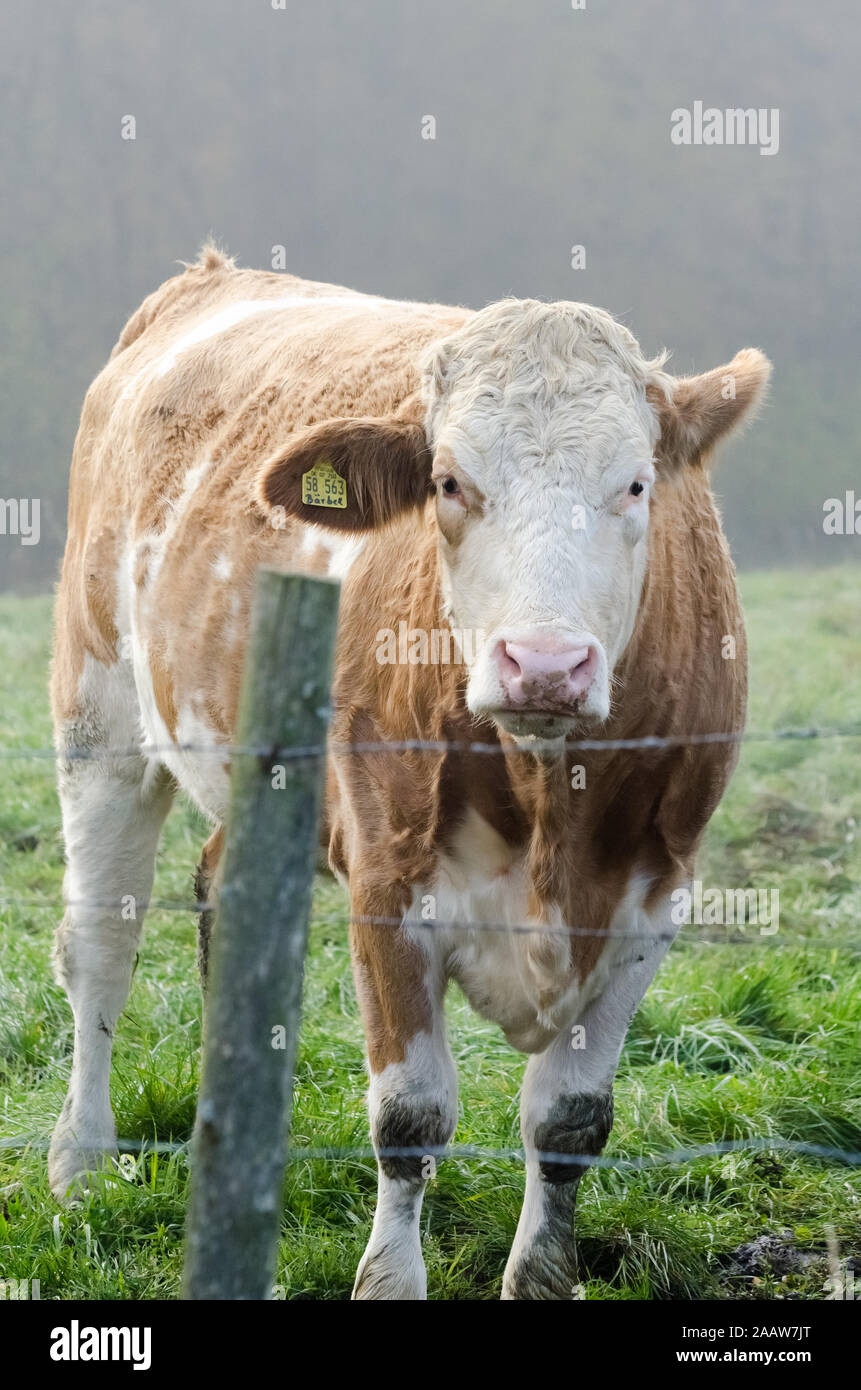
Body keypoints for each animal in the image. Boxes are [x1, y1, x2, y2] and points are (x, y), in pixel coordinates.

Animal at [49, 246, 770, 1299]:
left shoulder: (652, 894)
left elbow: (569, 1121)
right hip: (96, 715)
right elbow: (411, 1115)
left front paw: (538, 1277)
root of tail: (208, 279)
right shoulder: (387, 874)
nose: (544, 664)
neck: (545, 798)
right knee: (102, 944)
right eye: (448, 482)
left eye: (636, 485)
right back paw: (81, 1166)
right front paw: (390, 1278)